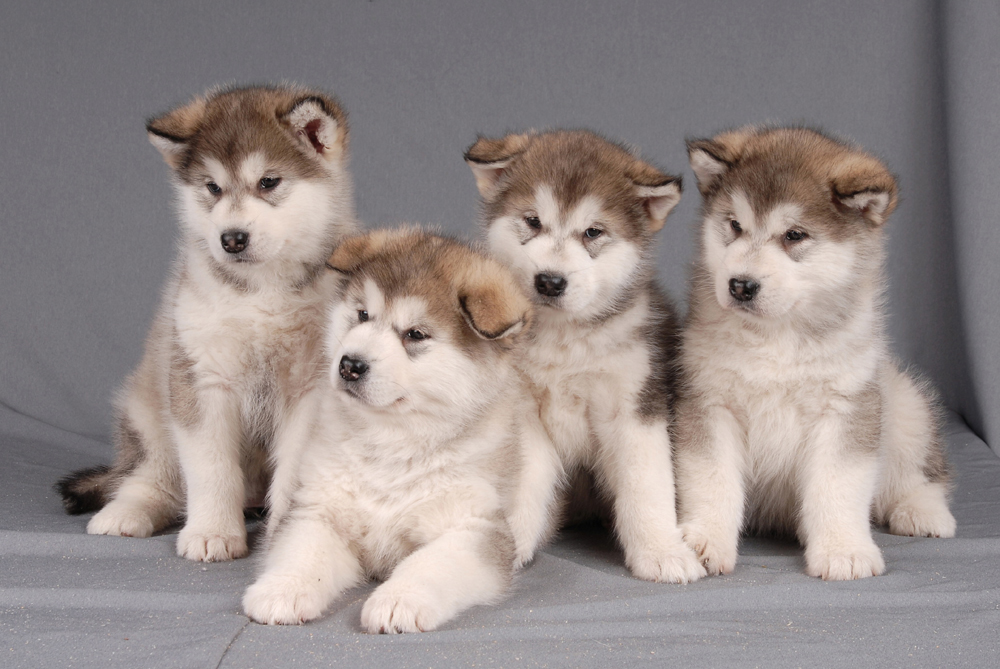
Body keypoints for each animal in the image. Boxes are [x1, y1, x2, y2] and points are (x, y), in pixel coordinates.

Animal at [56, 85, 358, 564]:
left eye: (268, 182)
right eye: (212, 188)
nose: (231, 239)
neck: (260, 293)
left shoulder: (310, 389)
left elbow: (294, 470)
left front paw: (282, 536)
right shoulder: (201, 377)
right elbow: (210, 466)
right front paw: (212, 532)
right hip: (148, 406)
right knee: (153, 473)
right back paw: (127, 511)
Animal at [244, 230, 532, 632]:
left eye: (416, 334)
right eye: (363, 314)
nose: (350, 365)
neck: (391, 441)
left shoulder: (475, 527)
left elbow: (430, 563)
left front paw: (399, 599)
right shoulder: (317, 508)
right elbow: (303, 550)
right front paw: (283, 589)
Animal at [464, 129, 708, 580]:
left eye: (593, 232)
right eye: (532, 221)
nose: (549, 281)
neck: (565, 342)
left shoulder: (635, 404)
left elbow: (646, 484)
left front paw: (662, 550)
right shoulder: (523, 411)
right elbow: (524, 479)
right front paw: (510, 542)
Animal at [676, 125, 956, 580]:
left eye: (794, 235)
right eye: (734, 225)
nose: (740, 285)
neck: (777, 337)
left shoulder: (846, 406)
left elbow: (837, 485)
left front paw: (844, 549)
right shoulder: (709, 401)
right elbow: (712, 479)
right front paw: (703, 540)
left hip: (903, 401)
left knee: (919, 473)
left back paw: (923, 511)